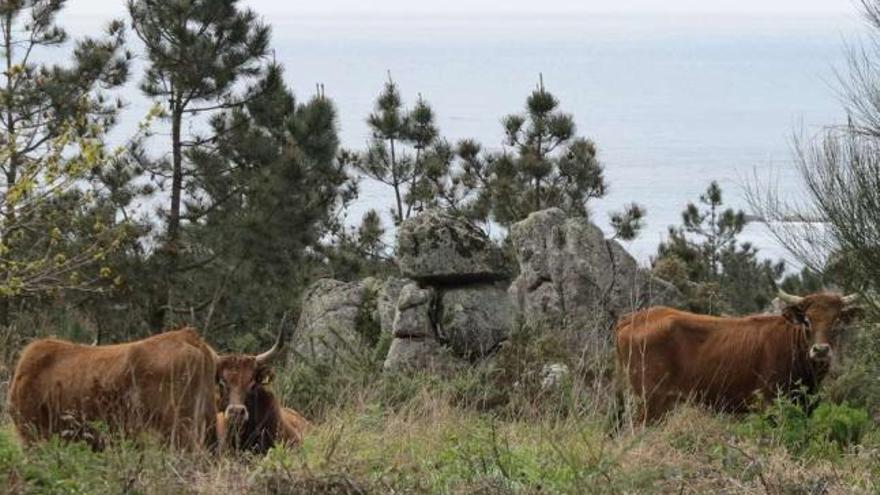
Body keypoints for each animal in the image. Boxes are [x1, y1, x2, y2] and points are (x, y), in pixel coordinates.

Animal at [616, 290, 856, 422]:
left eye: (836, 321)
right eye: (807, 320)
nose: (821, 350)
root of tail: (633, 318)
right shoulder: (769, 403)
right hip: (650, 400)